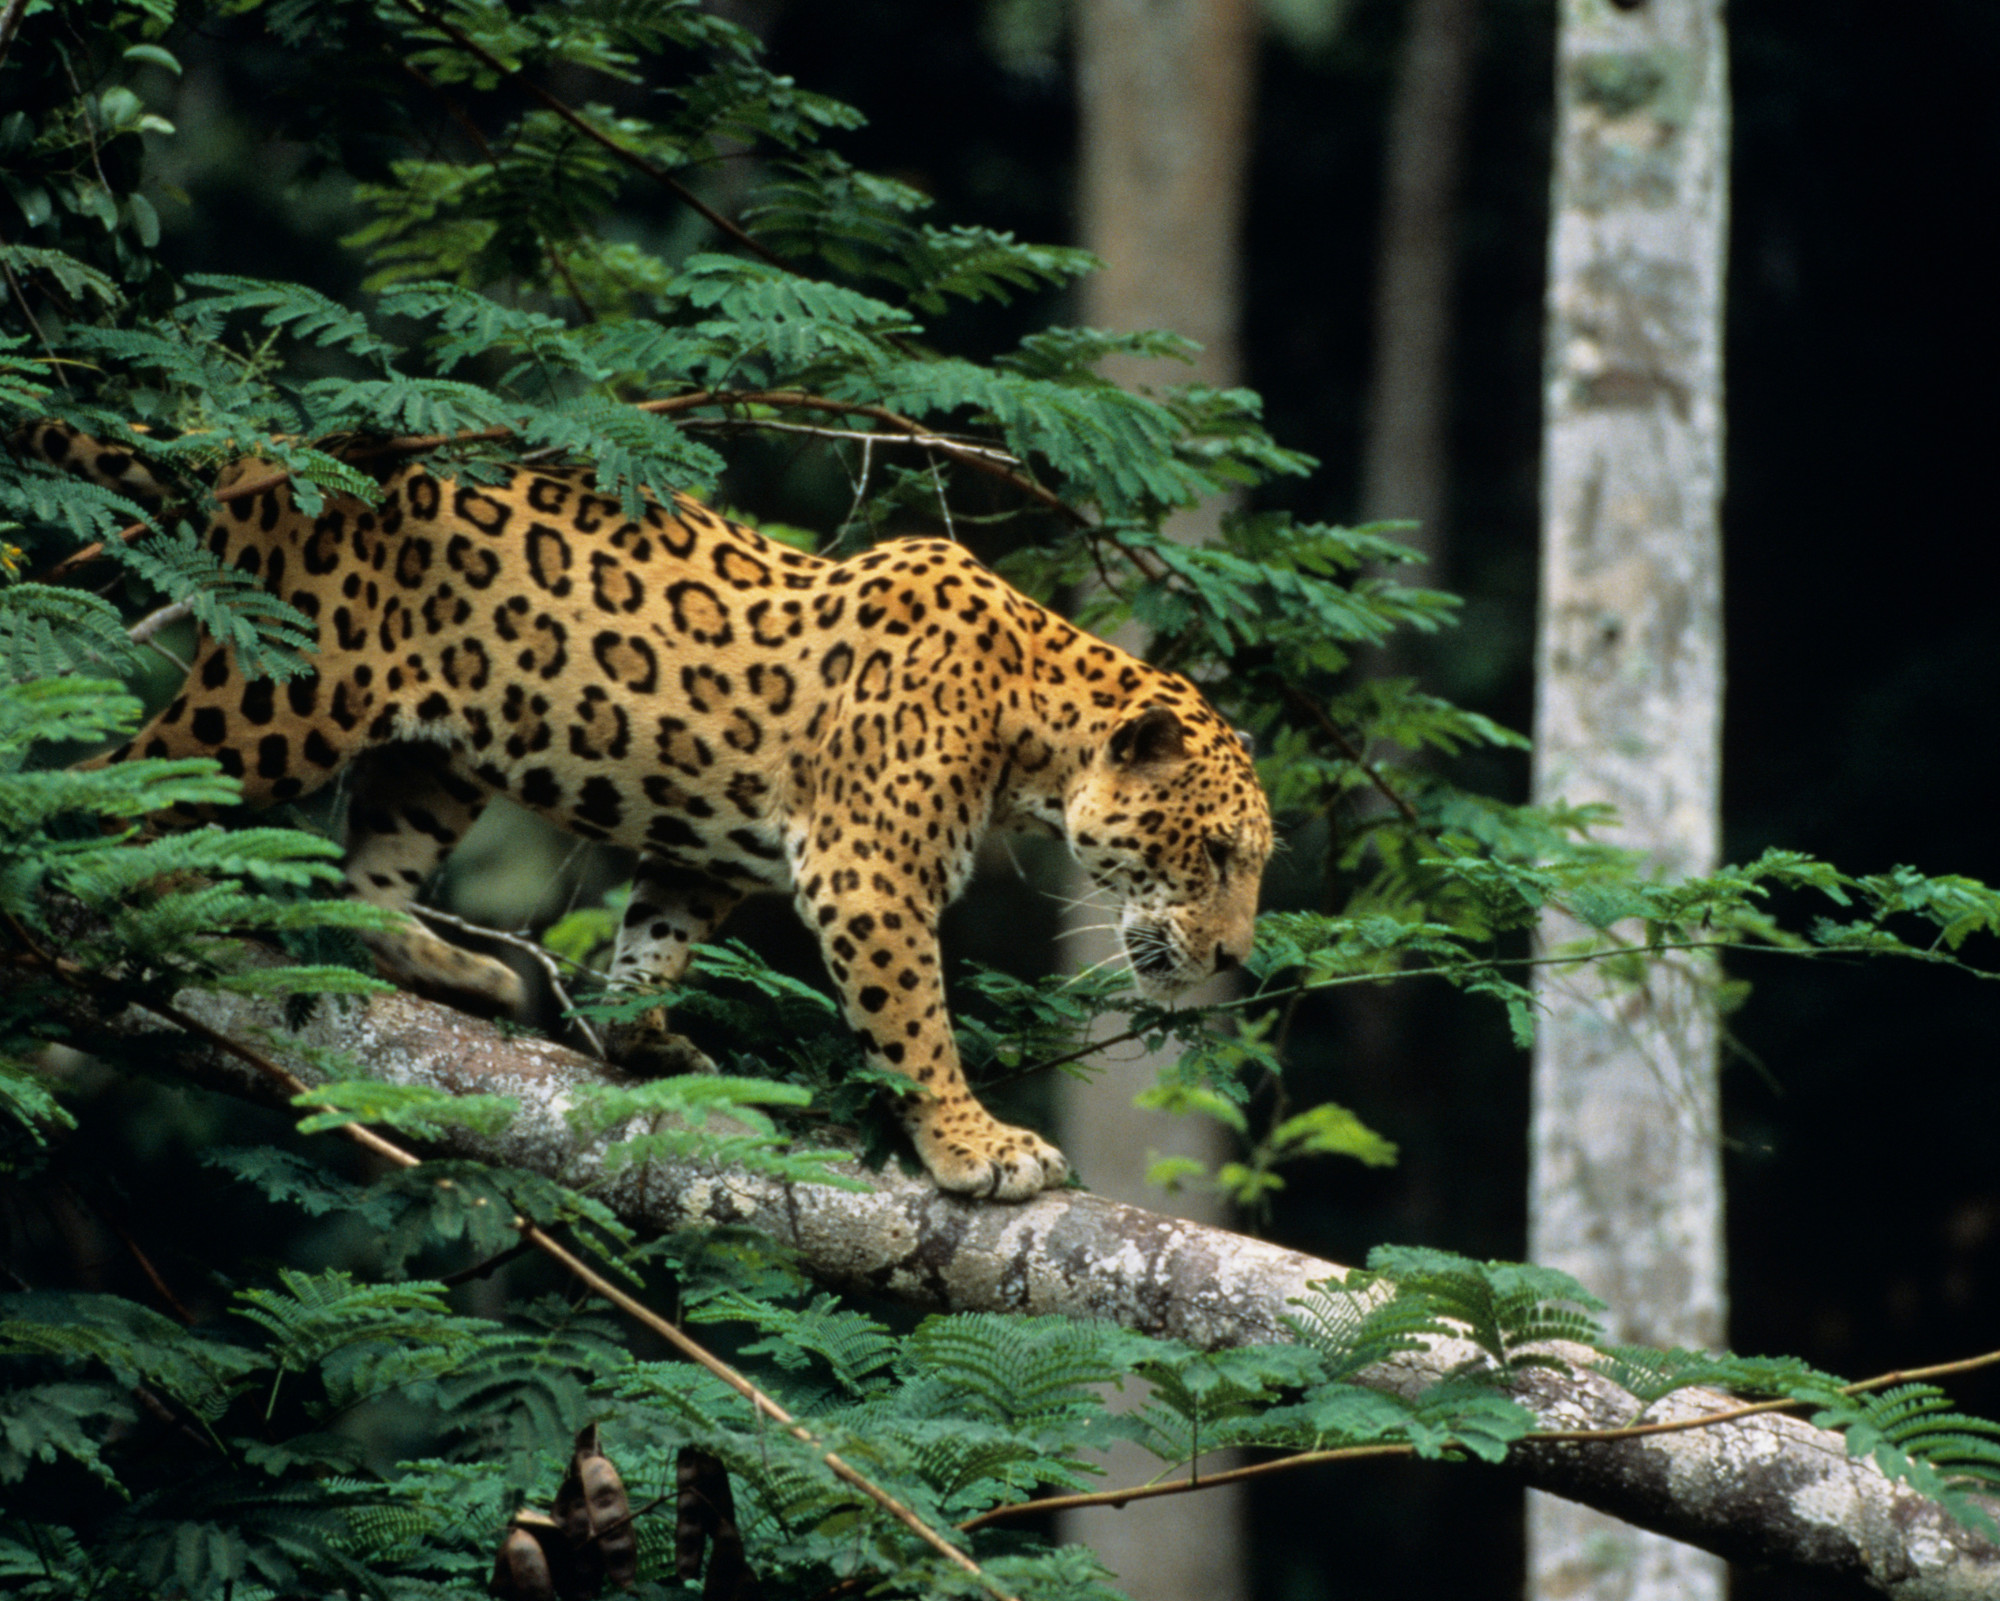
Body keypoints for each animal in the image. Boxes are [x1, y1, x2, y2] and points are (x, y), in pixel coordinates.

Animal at [17, 421, 1274, 1201]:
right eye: (1216, 854)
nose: (1233, 959)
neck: (1031, 725)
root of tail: (263, 460)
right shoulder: (866, 875)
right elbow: (915, 1025)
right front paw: (976, 1146)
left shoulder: (712, 858)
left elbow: (654, 938)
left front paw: (638, 1034)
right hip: (286, 694)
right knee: (129, 780)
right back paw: (148, 889)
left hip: (438, 759)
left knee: (363, 870)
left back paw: (455, 969)